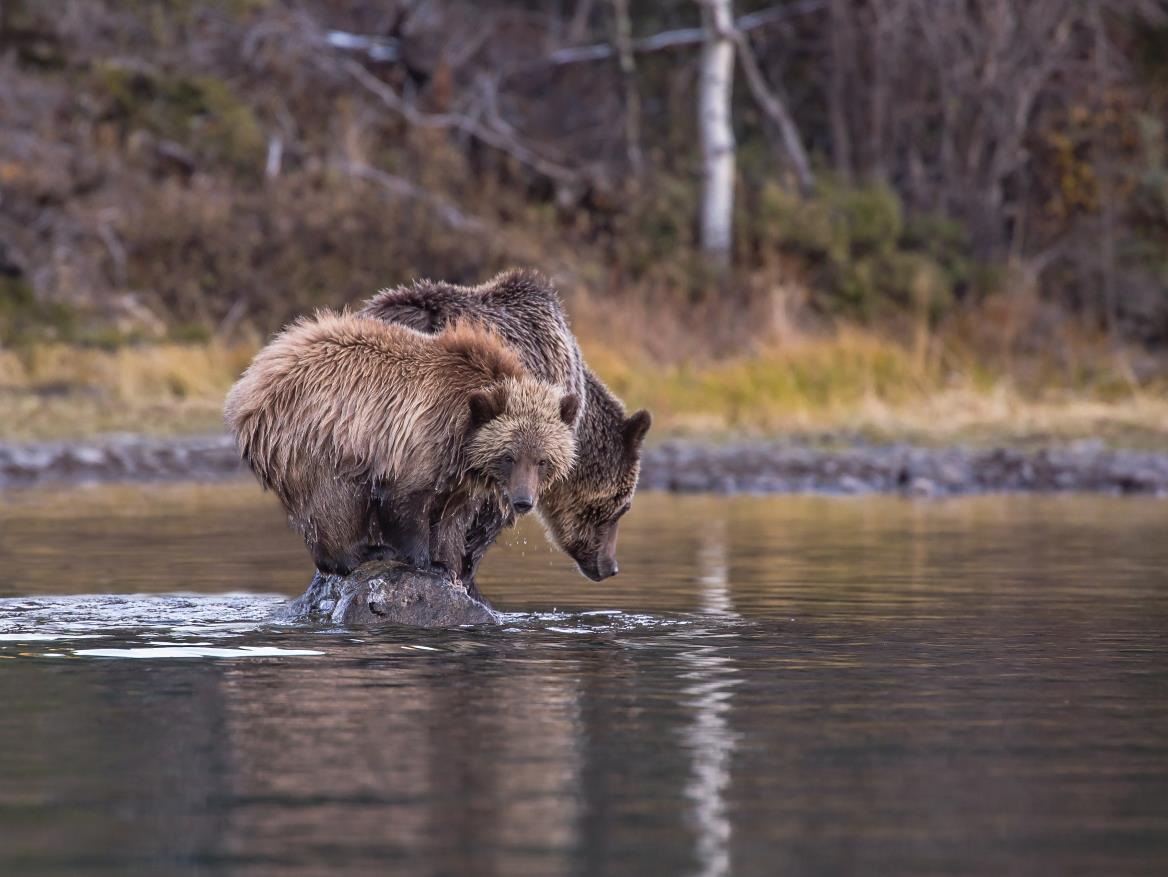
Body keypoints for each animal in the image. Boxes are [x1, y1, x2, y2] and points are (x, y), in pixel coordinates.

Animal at [224, 309, 579, 577]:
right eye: (509, 457)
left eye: (543, 460)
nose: (523, 501)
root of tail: (249, 386)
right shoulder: (418, 438)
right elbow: (406, 501)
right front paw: (423, 560)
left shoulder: (458, 473)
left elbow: (452, 516)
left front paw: (448, 564)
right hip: (317, 436)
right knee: (334, 499)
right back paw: (356, 554)